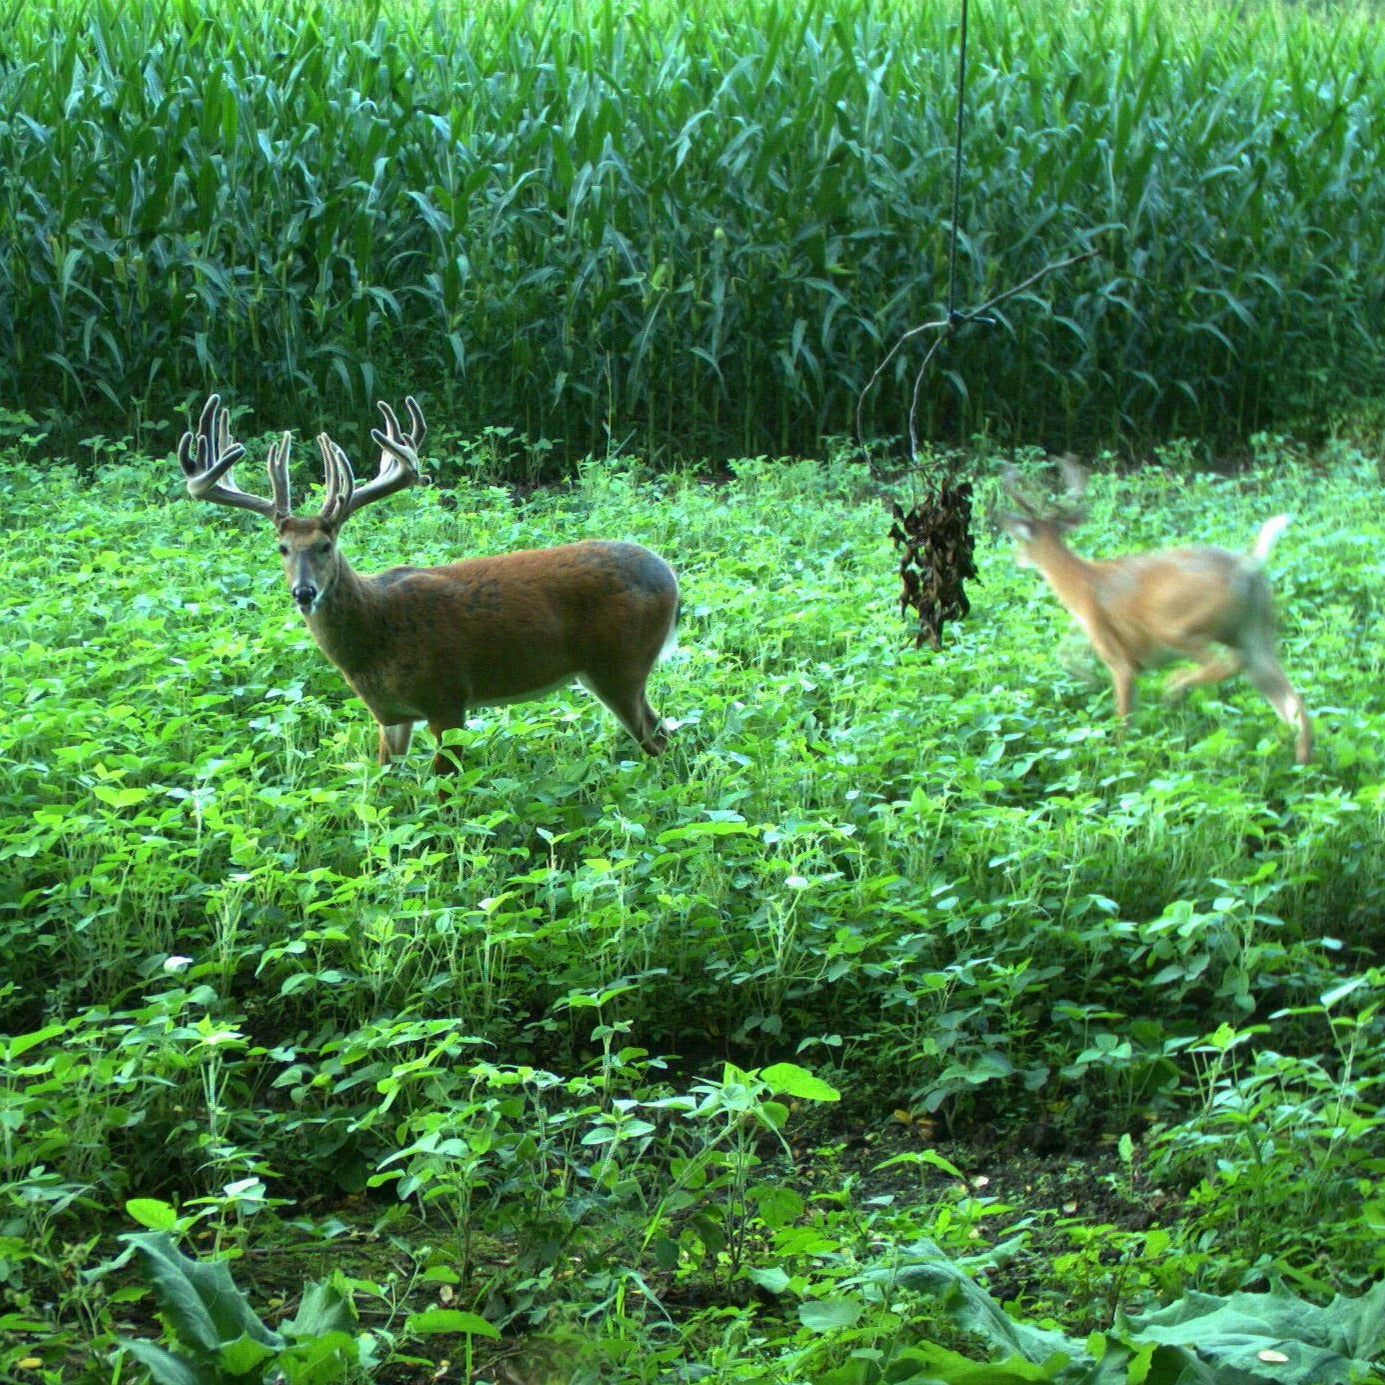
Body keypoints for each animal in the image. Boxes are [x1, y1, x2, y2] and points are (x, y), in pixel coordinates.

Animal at [180, 396, 681, 775]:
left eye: (326, 544)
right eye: (282, 547)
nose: (304, 593)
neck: (377, 635)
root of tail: (672, 580)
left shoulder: (447, 698)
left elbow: (445, 795)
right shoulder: (389, 716)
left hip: (620, 663)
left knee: (658, 737)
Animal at [1002, 462, 1312, 770]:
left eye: (1018, 540)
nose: (1015, 558)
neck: (1081, 585)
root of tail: (1246, 567)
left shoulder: (1118, 658)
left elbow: (1123, 721)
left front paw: (1118, 759)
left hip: (1178, 625)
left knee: (1229, 662)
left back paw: (1175, 685)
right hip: (1255, 628)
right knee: (1292, 703)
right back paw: (1301, 761)